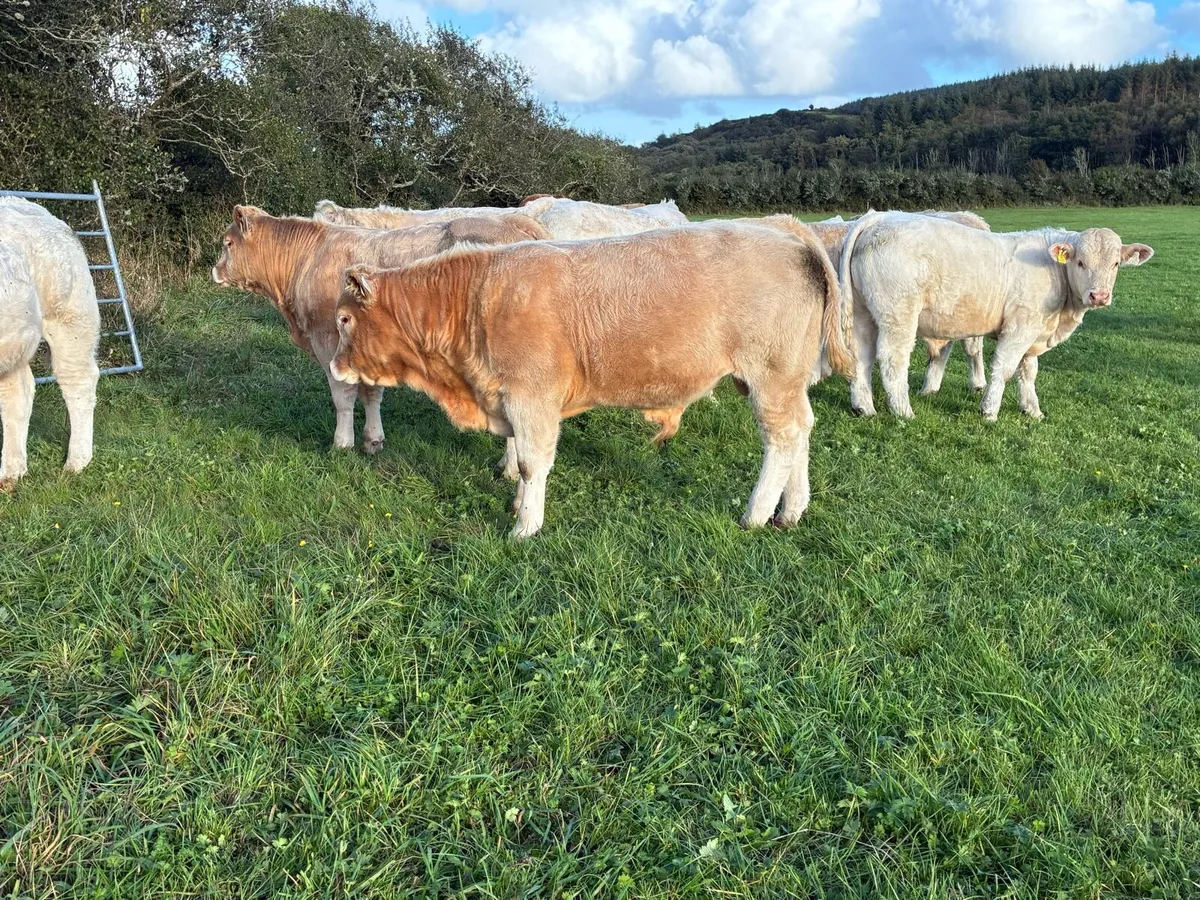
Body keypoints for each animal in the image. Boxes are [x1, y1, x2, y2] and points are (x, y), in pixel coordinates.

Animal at [0, 198, 100, 486]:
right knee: (18, 393)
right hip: (15, 340)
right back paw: (12, 473)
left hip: (71, 316)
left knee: (78, 381)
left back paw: (75, 463)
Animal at [211, 206, 549, 453]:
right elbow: (371, 392)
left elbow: (343, 395)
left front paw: (341, 443)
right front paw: (373, 439)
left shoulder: (327, 340)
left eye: (227, 243)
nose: (214, 270)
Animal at [327, 221, 855, 538]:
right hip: (785, 380)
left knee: (781, 438)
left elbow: (531, 463)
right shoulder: (511, 398)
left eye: (344, 320)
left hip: (771, 374)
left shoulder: (532, 397)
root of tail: (785, 232)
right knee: (801, 432)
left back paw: (757, 513)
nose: (332, 367)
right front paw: (518, 506)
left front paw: (525, 527)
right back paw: (791, 509)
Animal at [838, 211, 1153, 420]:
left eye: (1115, 264)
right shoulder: (1019, 328)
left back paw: (864, 407)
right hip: (899, 314)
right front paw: (989, 410)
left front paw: (1032, 409)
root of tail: (880, 217)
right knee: (893, 359)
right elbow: (1004, 368)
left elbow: (1028, 371)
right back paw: (903, 411)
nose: (1099, 296)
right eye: (1080, 262)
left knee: (861, 356)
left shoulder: (1034, 332)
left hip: (863, 314)